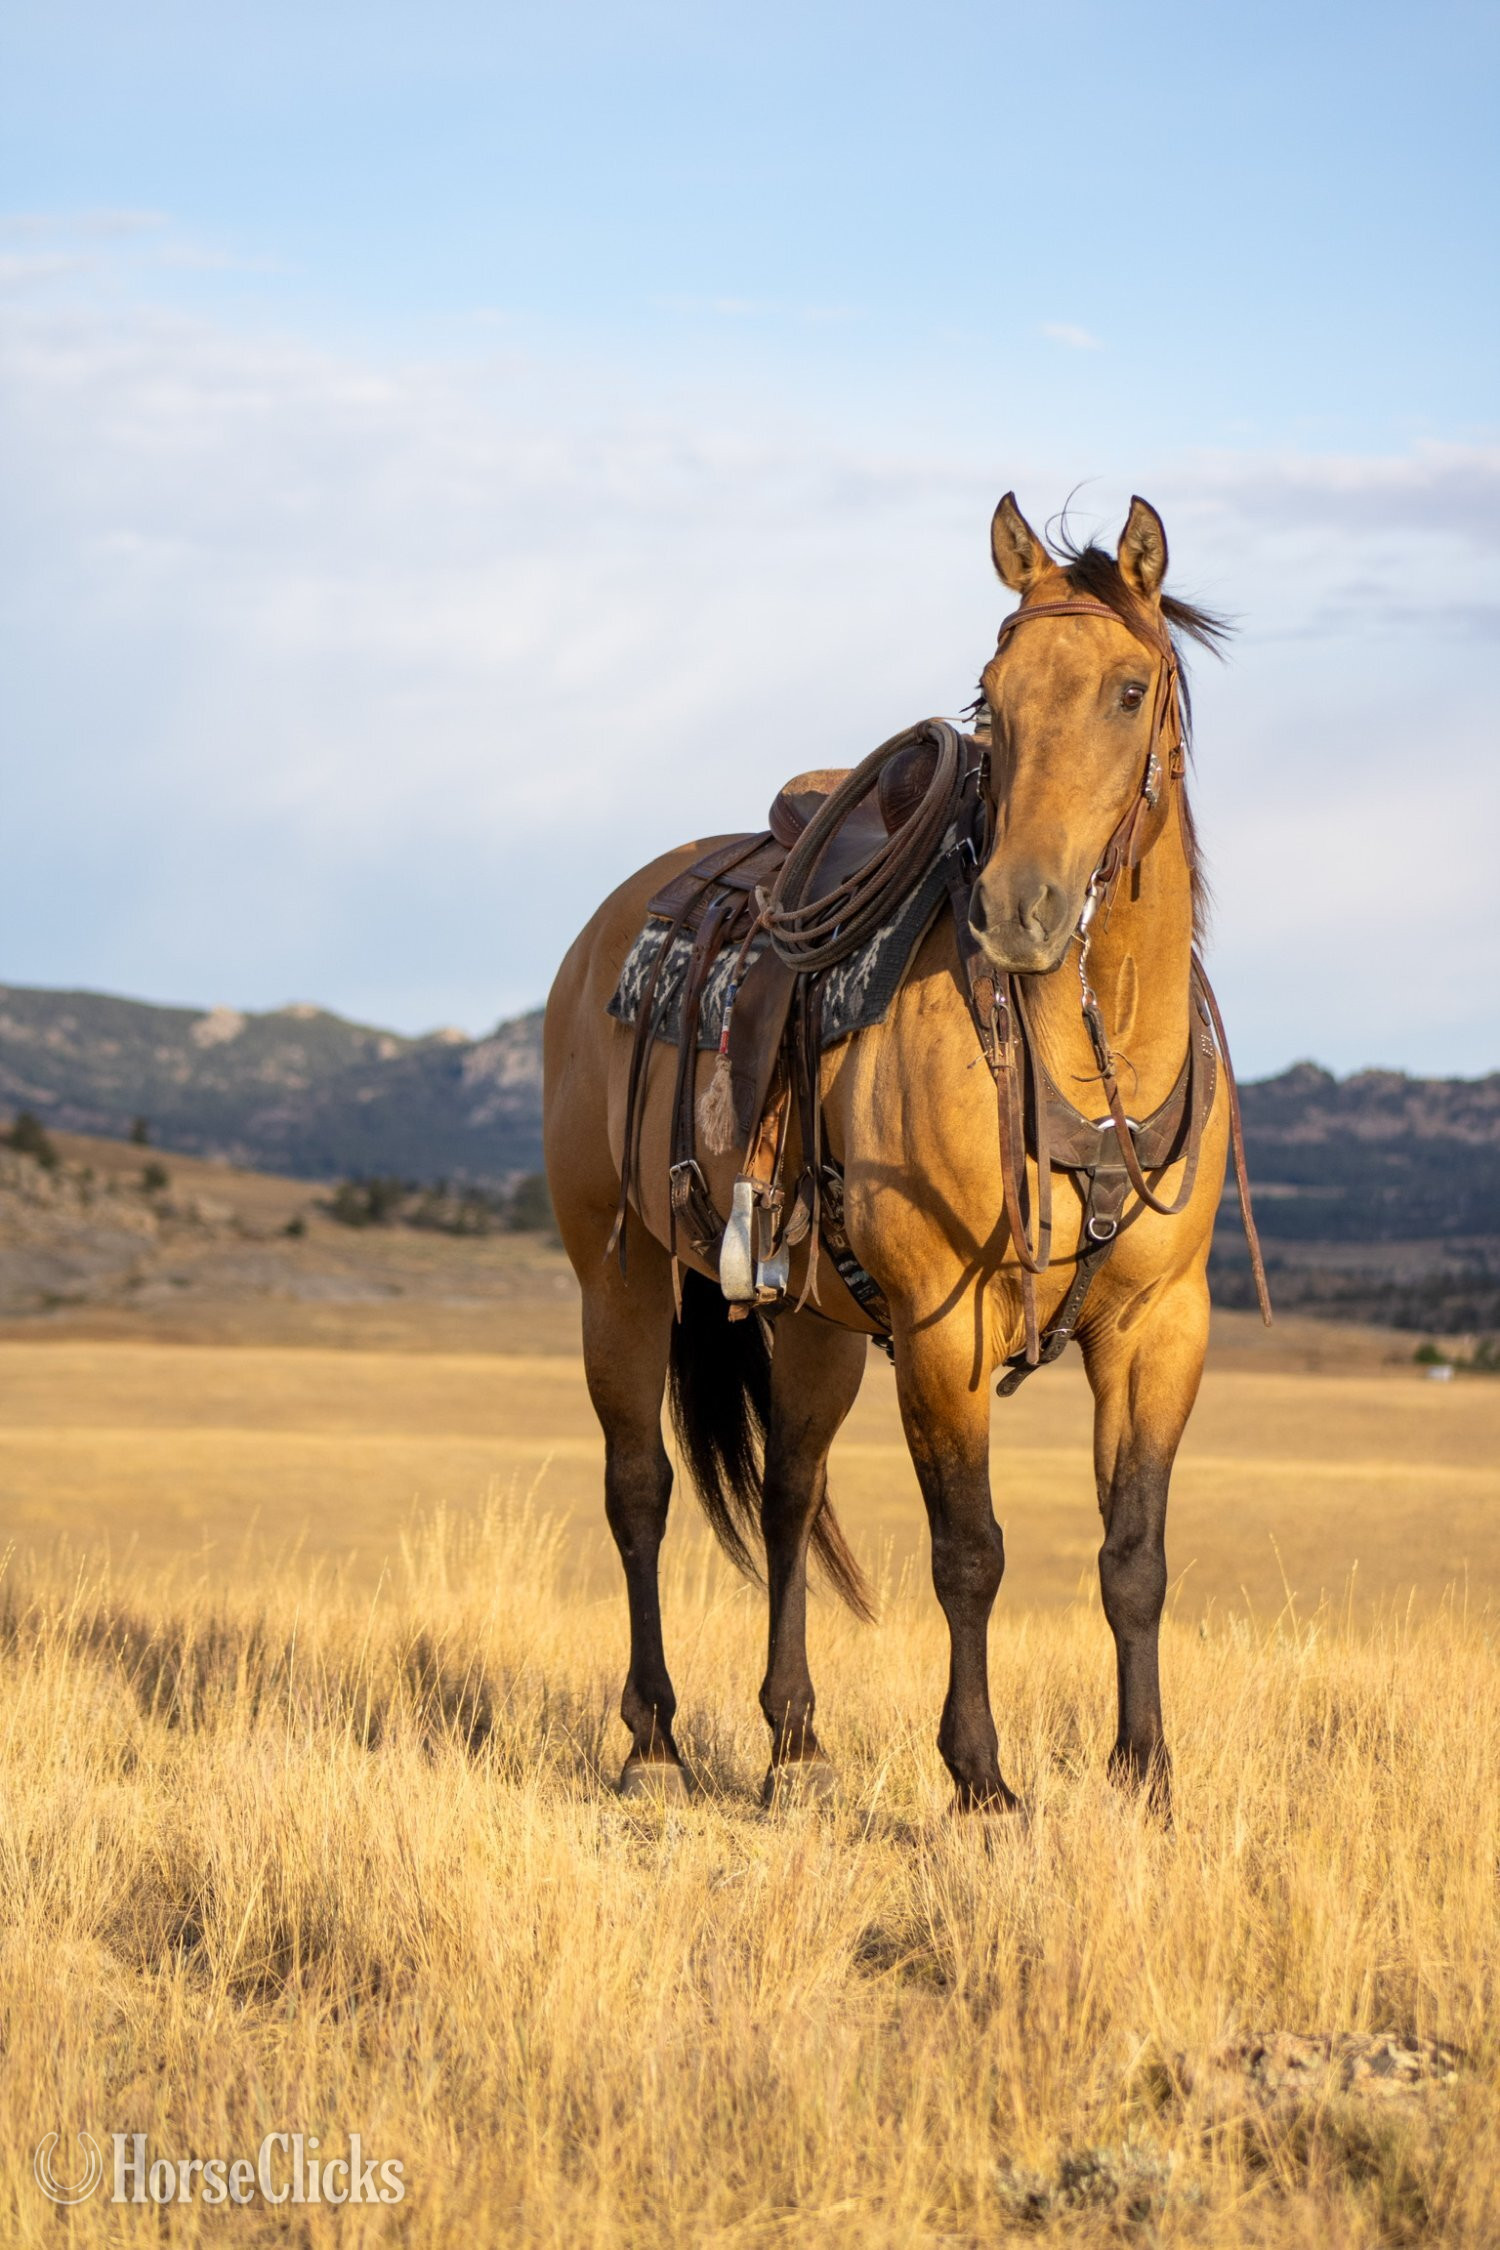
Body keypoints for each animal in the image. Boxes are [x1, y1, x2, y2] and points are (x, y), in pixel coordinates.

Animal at [543, 492, 1259, 1815]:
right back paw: (656, 1740)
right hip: (616, 1280)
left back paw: (795, 1743)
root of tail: (614, 923)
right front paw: (980, 1782)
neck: (1092, 1059)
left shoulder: (1161, 1326)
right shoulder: (942, 1325)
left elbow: (1133, 1554)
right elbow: (968, 1551)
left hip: (817, 1321)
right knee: (639, 1491)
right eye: (992, 695)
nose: (1020, 911)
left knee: (788, 1495)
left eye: (1130, 689)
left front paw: (1144, 1774)